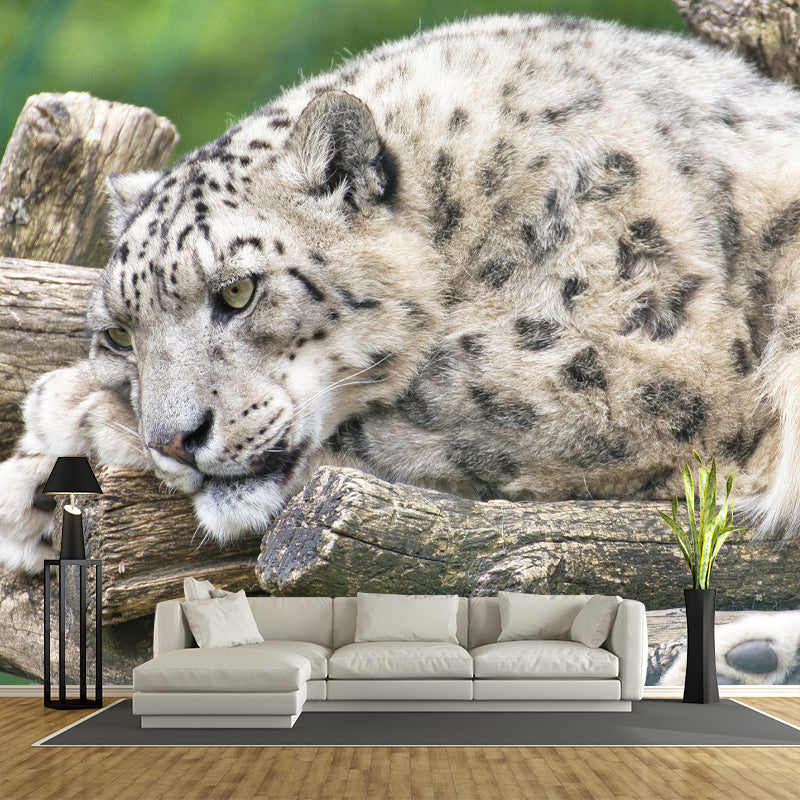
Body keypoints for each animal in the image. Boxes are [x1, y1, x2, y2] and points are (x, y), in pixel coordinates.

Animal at [2, 12, 800, 576]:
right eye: (118, 335)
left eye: (237, 291)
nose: (172, 439)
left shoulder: (641, 363)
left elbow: (433, 404)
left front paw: (66, 424)